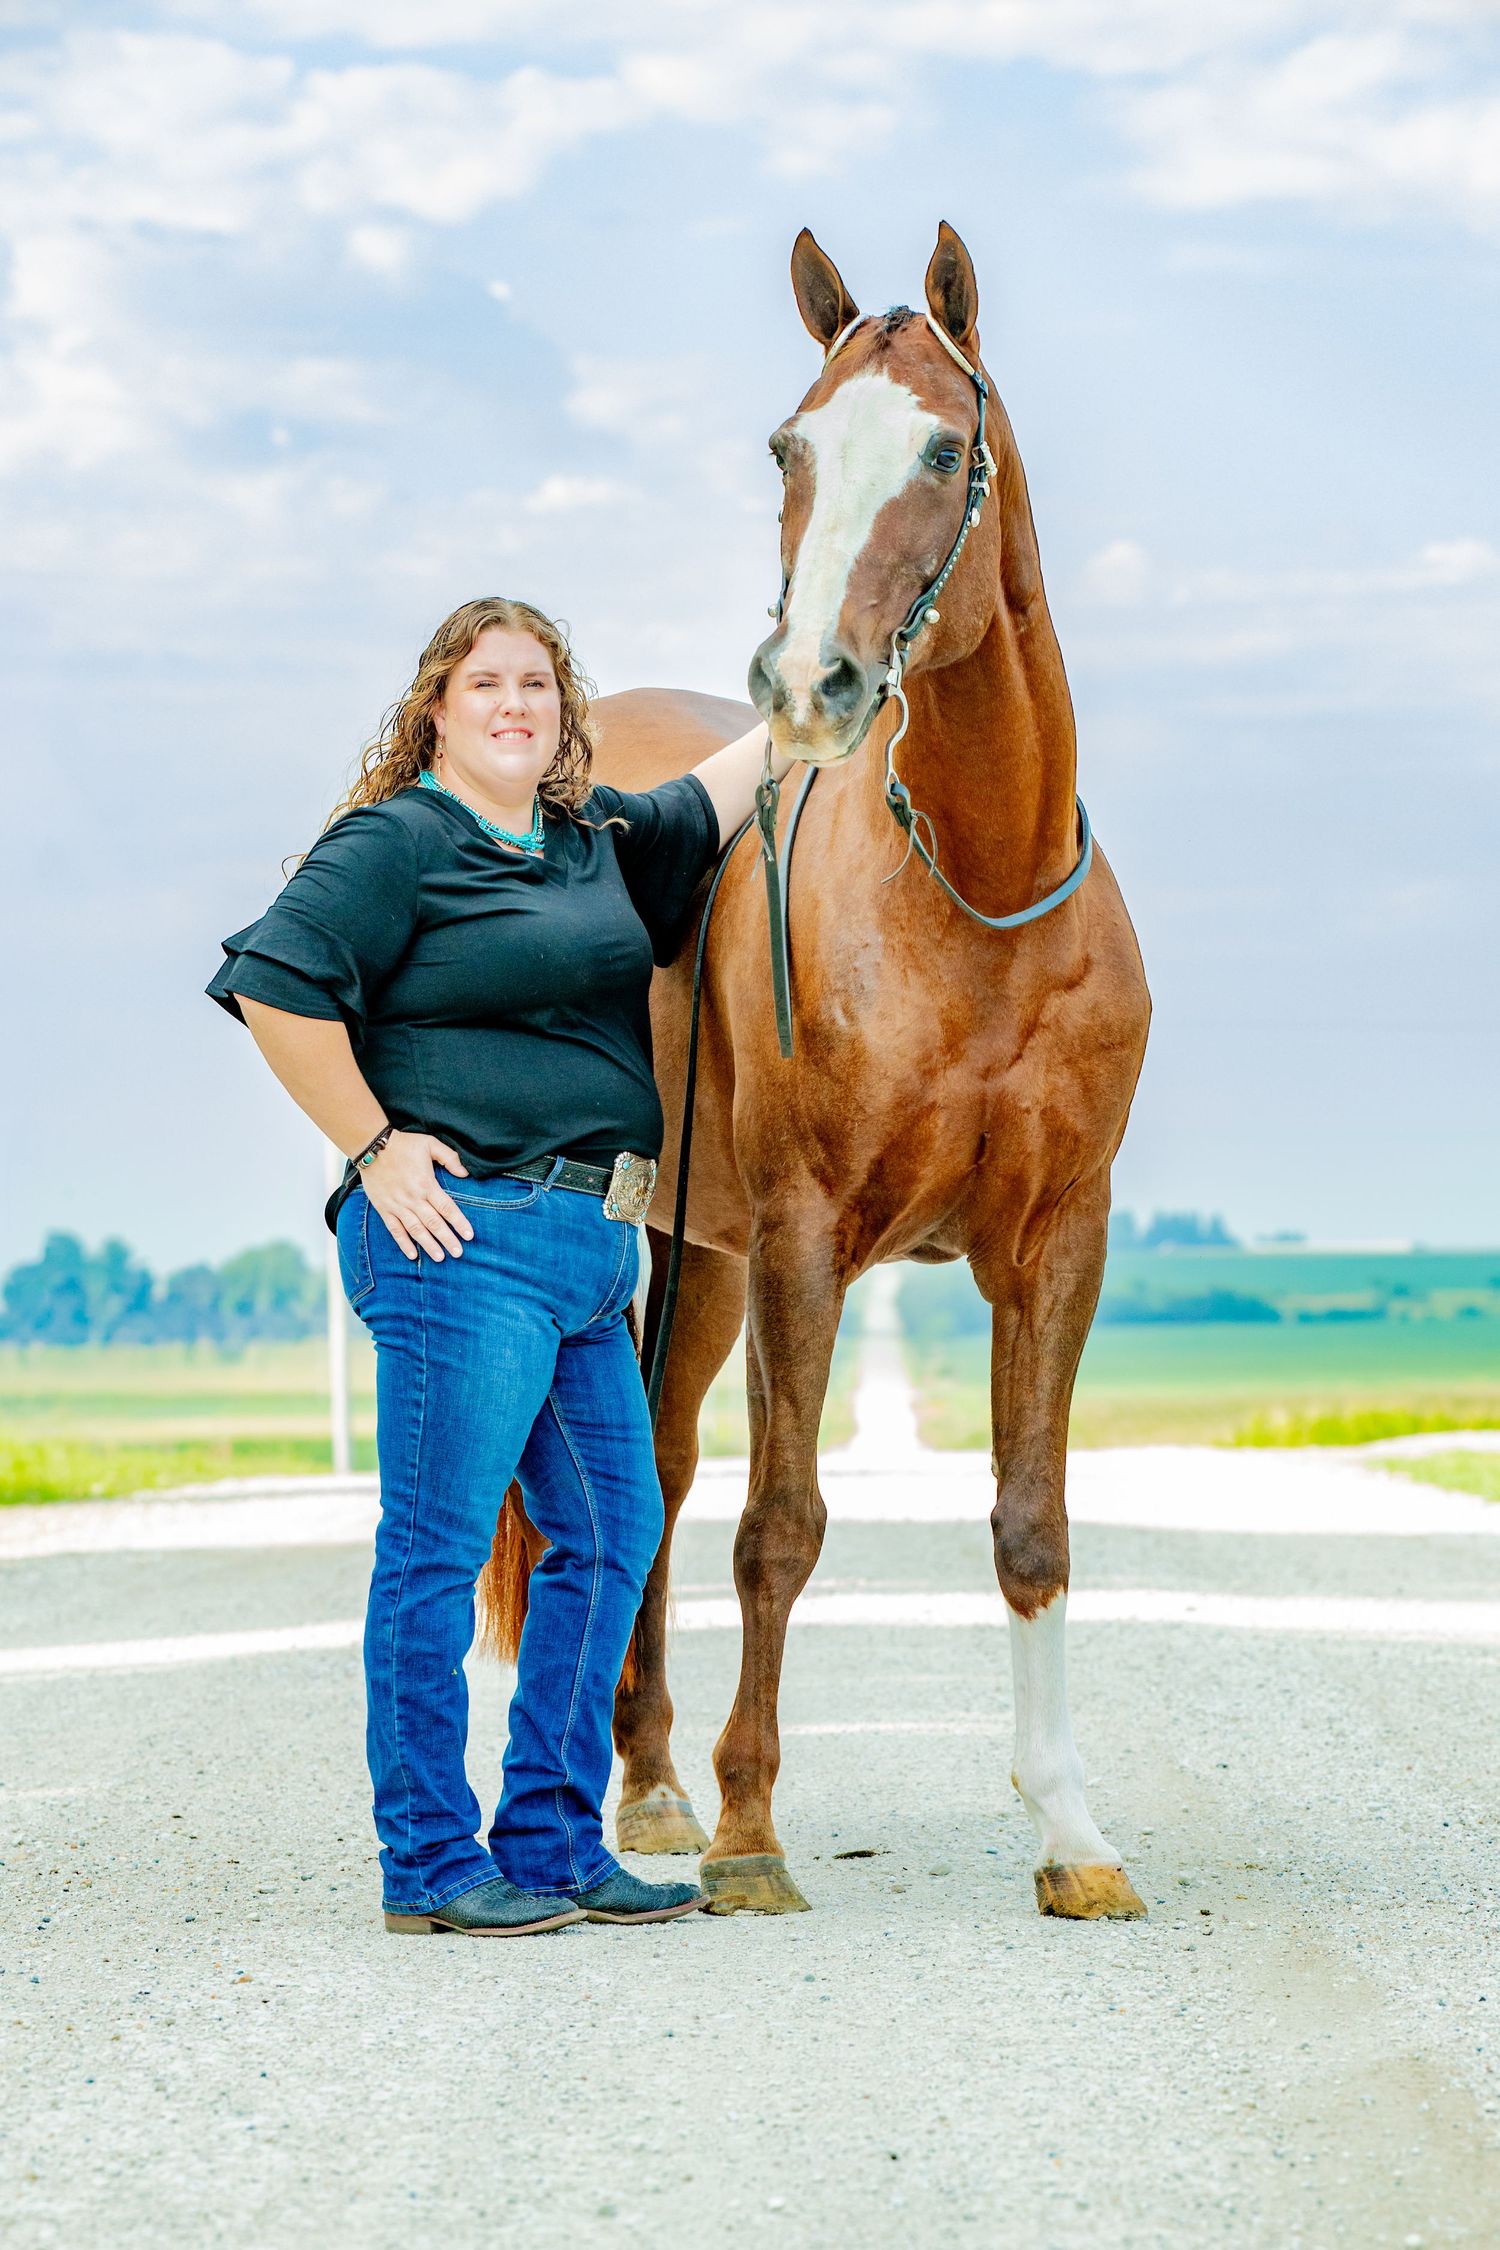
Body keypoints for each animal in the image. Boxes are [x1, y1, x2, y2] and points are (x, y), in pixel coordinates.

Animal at [480, 221, 1151, 1922]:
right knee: (628, 1489)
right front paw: (749, 1832)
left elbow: (1033, 1527)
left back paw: (646, 1779)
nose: (809, 684)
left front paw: (1071, 1833)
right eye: (790, 445)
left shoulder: (1058, 1242)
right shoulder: (803, 1237)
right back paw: (654, 1795)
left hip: (694, 1257)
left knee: (644, 1473)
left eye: (942, 449)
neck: (975, 890)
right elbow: (780, 1524)